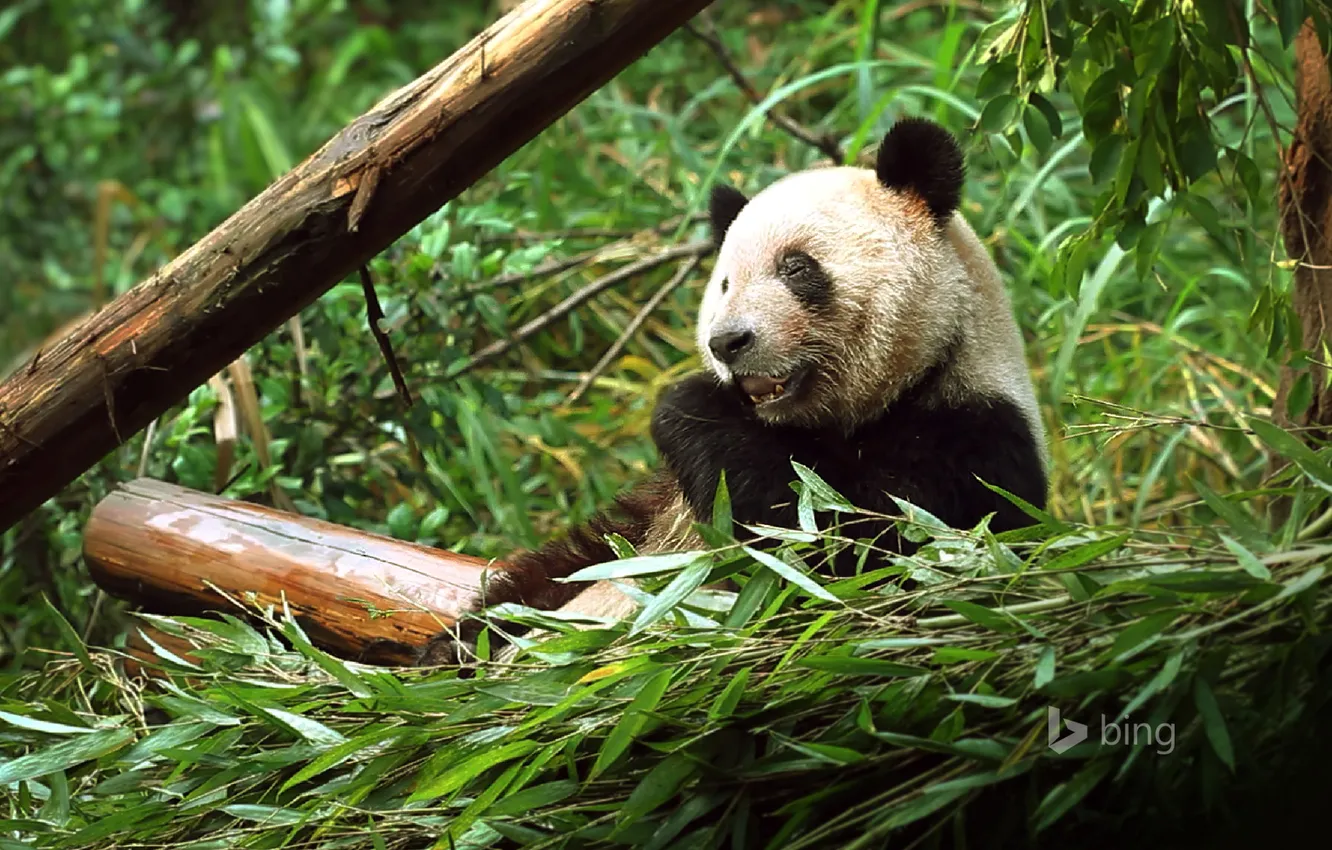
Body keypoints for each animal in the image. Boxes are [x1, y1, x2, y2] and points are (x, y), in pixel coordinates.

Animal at [415, 116, 1048, 667]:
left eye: (797, 268)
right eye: (724, 284)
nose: (727, 342)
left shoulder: (970, 442)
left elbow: (840, 555)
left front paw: (688, 404)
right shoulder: (656, 505)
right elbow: (570, 564)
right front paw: (453, 645)